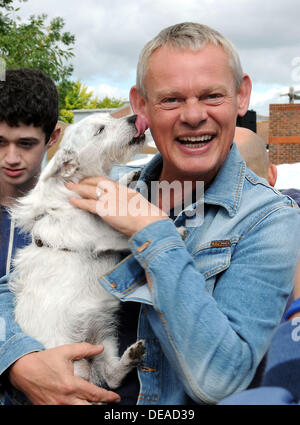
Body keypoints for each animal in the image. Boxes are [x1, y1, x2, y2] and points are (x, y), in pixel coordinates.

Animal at [9, 112, 148, 388]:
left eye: (110, 116)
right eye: (100, 130)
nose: (134, 117)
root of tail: (87, 368)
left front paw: (127, 178)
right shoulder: (104, 237)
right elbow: (130, 236)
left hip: (105, 339)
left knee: (112, 377)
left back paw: (132, 356)